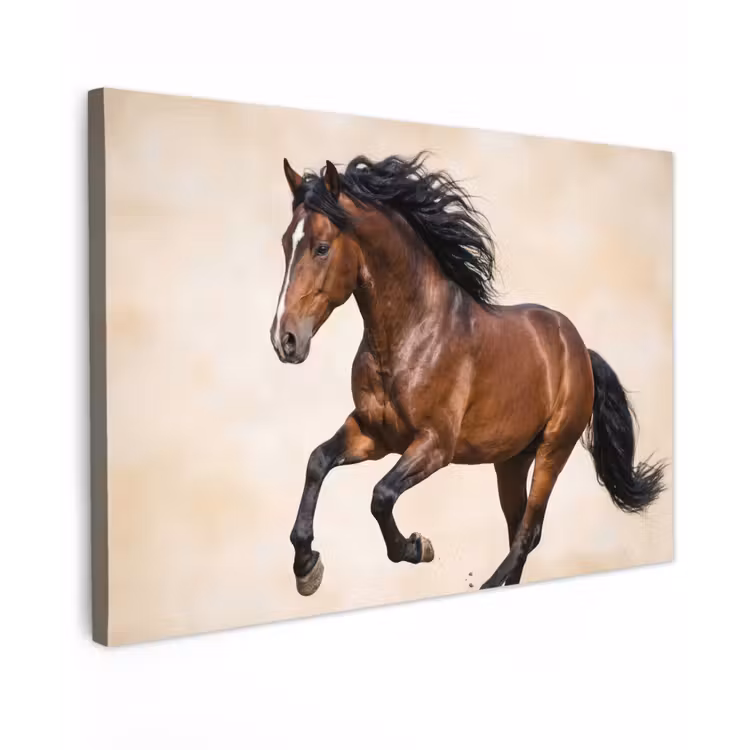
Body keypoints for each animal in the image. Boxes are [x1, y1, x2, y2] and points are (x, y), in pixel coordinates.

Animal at [270, 152, 666, 596]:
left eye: (321, 248)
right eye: (285, 243)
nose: (284, 339)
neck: (411, 335)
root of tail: (580, 349)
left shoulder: (435, 445)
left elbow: (381, 494)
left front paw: (416, 547)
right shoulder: (373, 434)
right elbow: (318, 461)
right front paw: (307, 567)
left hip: (554, 449)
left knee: (528, 532)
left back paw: (491, 583)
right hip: (511, 460)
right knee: (521, 529)